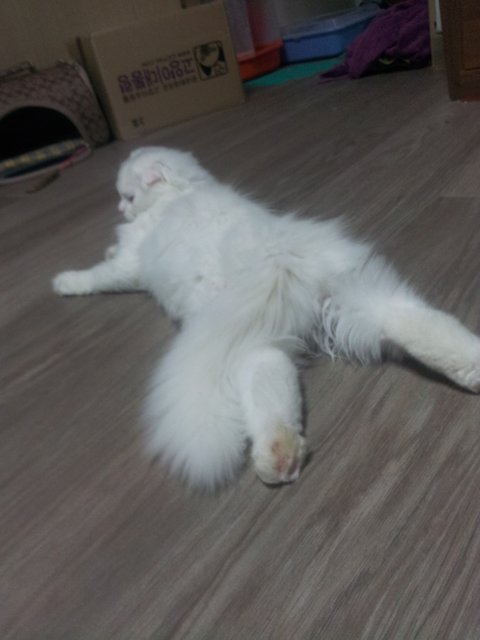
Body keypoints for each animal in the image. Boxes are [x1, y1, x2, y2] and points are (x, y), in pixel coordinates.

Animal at [53, 146, 480, 490]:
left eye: (127, 196)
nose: (120, 209)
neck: (181, 191)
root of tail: (277, 260)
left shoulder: (131, 263)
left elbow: (97, 276)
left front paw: (64, 282)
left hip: (245, 338)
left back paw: (276, 460)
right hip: (357, 302)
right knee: (415, 326)